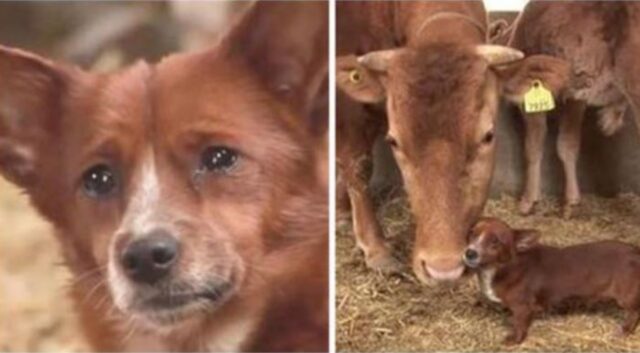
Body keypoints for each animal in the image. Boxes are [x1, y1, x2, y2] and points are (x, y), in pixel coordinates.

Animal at [462, 217, 640, 344]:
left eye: (495, 241)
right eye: (472, 233)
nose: (470, 253)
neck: (504, 267)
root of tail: (635, 251)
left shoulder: (523, 308)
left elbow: (519, 325)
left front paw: (514, 340)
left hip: (626, 298)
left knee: (634, 313)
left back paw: (625, 331)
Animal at [508, 1, 636, 216]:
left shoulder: (529, 94)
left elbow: (533, 146)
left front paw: (528, 200)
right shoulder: (576, 97)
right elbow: (568, 144)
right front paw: (570, 202)